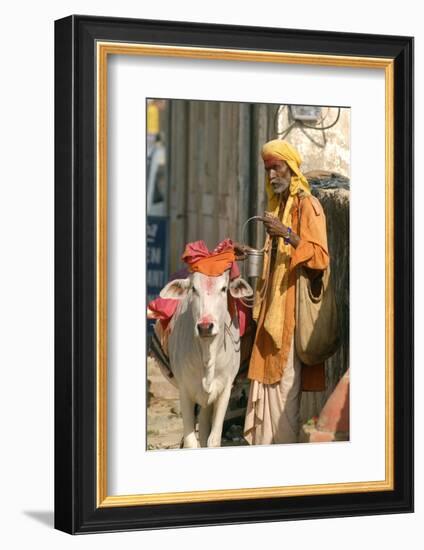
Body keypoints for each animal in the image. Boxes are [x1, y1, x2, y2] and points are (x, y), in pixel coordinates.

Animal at [159, 270, 252, 448]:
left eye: (224, 288)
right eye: (193, 289)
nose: (205, 326)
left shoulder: (225, 390)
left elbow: (213, 440)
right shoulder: (184, 391)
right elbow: (190, 442)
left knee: (203, 430)